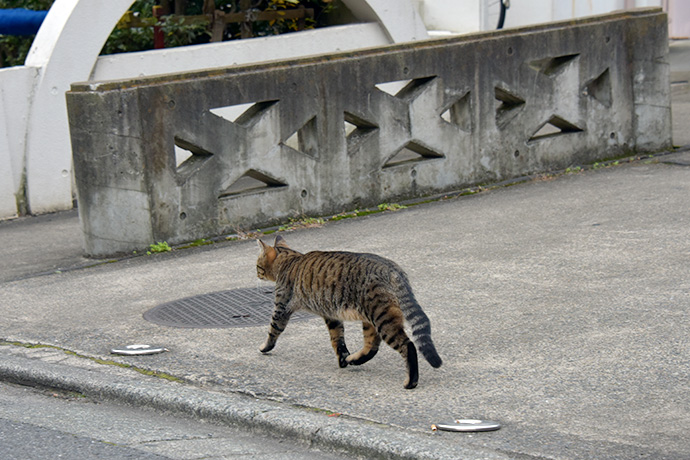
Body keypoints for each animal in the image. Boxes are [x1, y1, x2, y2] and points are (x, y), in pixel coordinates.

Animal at [254, 235, 440, 390]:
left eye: (257, 265)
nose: (256, 273)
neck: (290, 259)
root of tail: (392, 268)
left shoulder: (281, 308)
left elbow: (273, 331)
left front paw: (264, 347)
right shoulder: (331, 316)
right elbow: (338, 340)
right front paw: (343, 359)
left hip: (382, 319)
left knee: (407, 345)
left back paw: (411, 381)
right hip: (371, 319)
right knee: (372, 346)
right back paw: (354, 359)